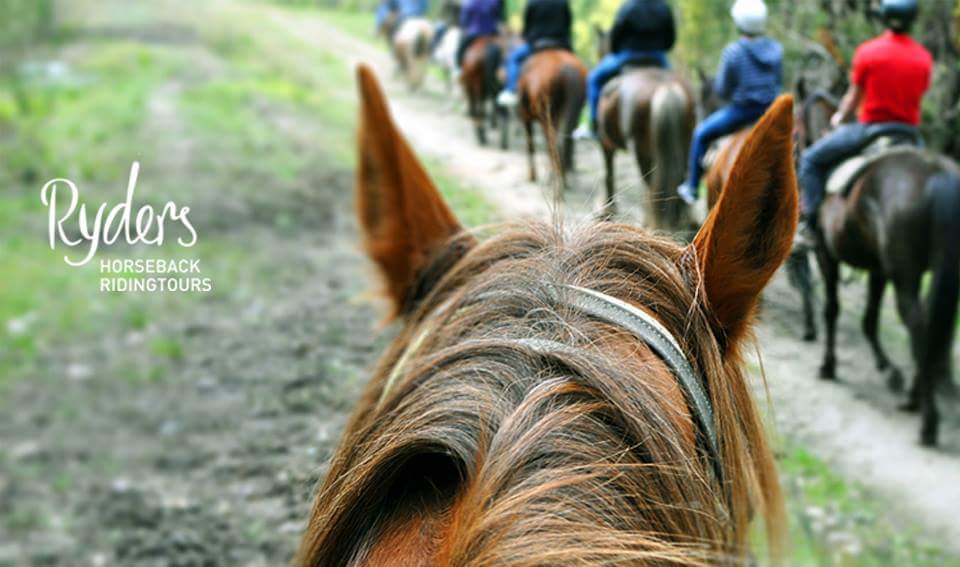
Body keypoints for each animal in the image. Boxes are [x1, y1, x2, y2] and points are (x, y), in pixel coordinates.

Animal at [506, 47, 586, 195]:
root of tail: (568, 70)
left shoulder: (526, 119)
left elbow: (530, 145)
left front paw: (532, 176)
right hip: (569, 114)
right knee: (564, 142)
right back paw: (562, 179)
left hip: (547, 117)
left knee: (554, 145)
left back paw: (556, 180)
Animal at [593, 29, 695, 231]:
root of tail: (666, 88)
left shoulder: (605, 142)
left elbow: (609, 172)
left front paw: (608, 208)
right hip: (685, 142)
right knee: (680, 177)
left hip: (643, 150)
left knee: (651, 184)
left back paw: (653, 223)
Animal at [797, 92, 960, 447]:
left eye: (796, 125)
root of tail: (937, 173)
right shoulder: (878, 270)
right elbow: (870, 319)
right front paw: (889, 369)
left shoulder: (827, 254)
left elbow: (832, 309)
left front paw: (828, 366)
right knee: (932, 327)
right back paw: (916, 394)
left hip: (906, 275)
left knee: (918, 325)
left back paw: (927, 419)